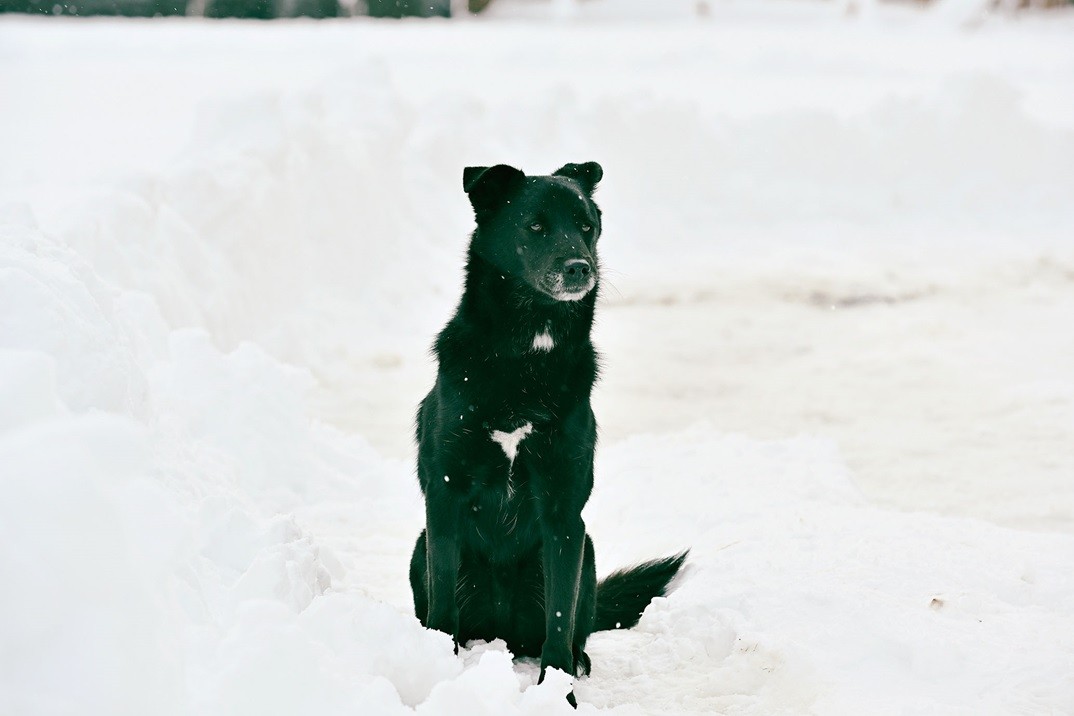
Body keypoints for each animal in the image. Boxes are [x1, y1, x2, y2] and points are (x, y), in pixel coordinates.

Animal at [405, 162, 683, 704]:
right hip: (420, 546)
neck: (526, 358)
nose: (580, 267)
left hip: (585, 549)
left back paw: (580, 662)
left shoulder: (562, 511)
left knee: (573, 626)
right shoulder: (445, 497)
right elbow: (443, 602)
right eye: (535, 226)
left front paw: (559, 694)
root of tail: (500, 633)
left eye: (586, 226)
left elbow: (558, 619)